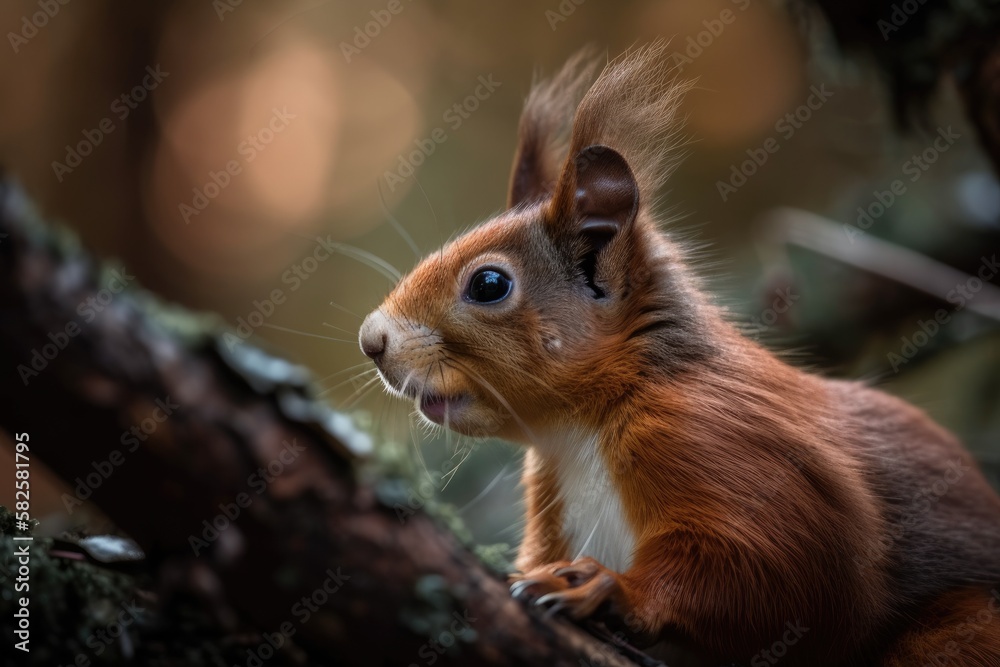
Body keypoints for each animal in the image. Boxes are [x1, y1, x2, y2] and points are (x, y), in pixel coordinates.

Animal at [358, 44, 1000, 664]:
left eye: (489, 284)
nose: (372, 339)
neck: (580, 429)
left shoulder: (717, 441)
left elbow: (786, 575)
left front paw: (610, 589)